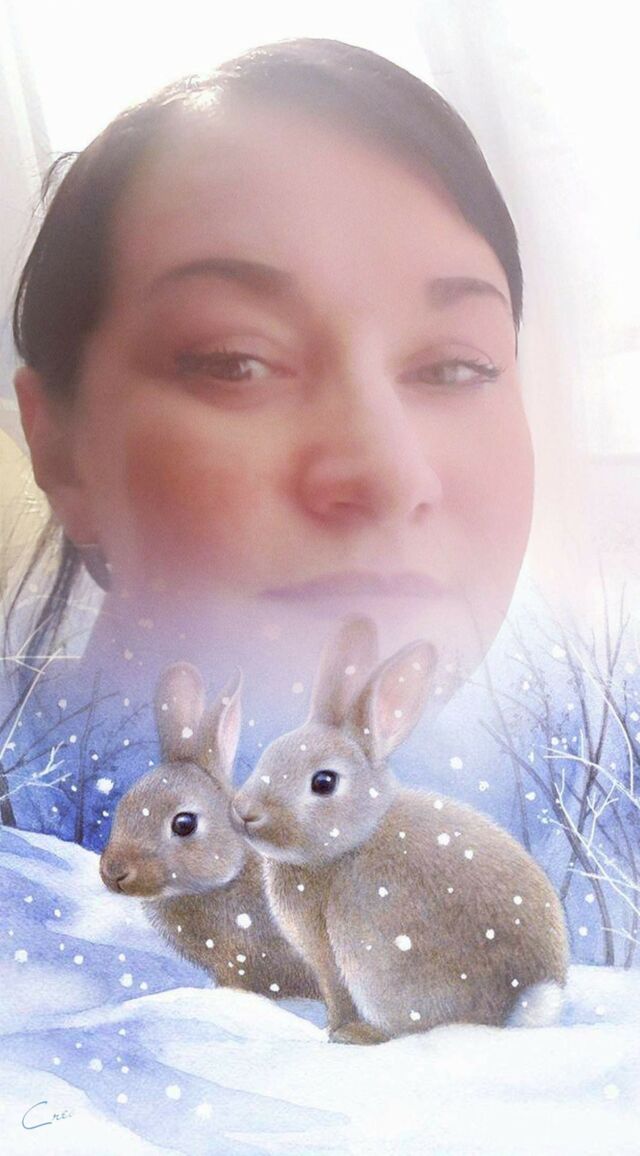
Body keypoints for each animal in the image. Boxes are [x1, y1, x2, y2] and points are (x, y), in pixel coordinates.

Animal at [231, 614, 569, 1044]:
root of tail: (519, 1003)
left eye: (323, 782)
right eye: (270, 753)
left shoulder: (325, 954)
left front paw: (335, 1032)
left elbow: (336, 996)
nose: (244, 812)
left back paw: (360, 1034)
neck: (353, 839)